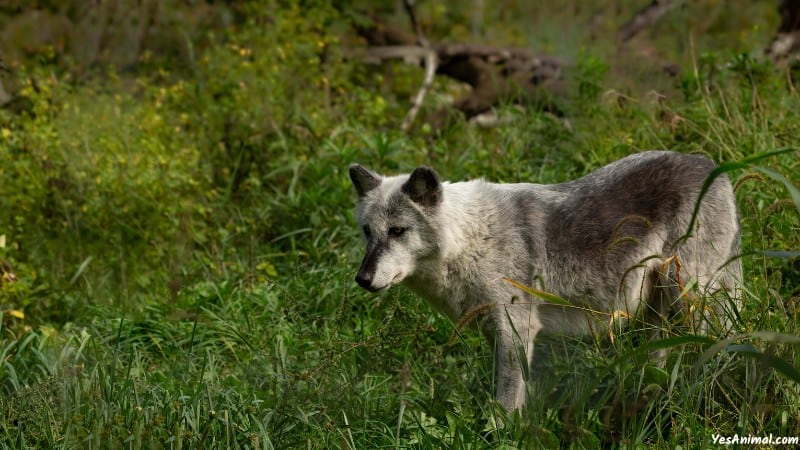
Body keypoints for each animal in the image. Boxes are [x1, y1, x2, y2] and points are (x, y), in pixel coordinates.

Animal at [346, 152, 740, 414]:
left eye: (397, 231)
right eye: (367, 232)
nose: (362, 279)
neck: (472, 237)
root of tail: (712, 166)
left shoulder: (516, 332)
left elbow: (505, 404)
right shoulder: (498, 335)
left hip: (691, 302)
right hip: (656, 314)